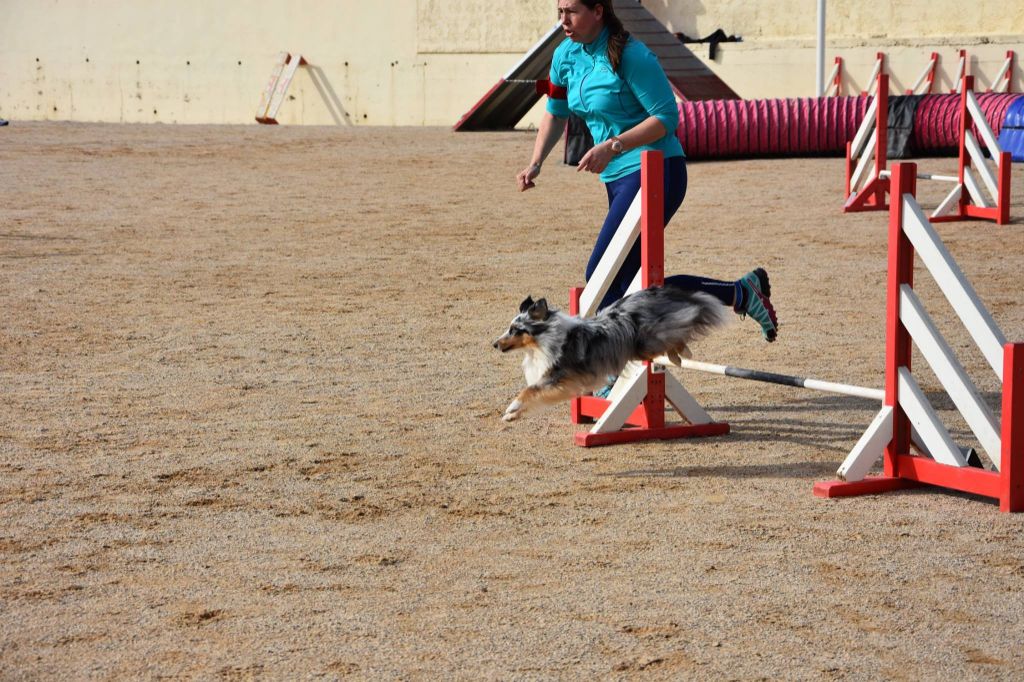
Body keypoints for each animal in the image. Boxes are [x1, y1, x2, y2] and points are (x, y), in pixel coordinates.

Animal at [489, 282, 724, 419]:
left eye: (516, 330)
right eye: (509, 328)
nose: (495, 344)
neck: (542, 341)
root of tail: (656, 291)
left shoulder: (557, 376)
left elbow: (529, 390)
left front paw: (512, 407)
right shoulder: (561, 383)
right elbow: (534, 394)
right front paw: (512, 416)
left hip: (648, 339)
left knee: (684, 325)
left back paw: (682, 354)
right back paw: (678, 357)